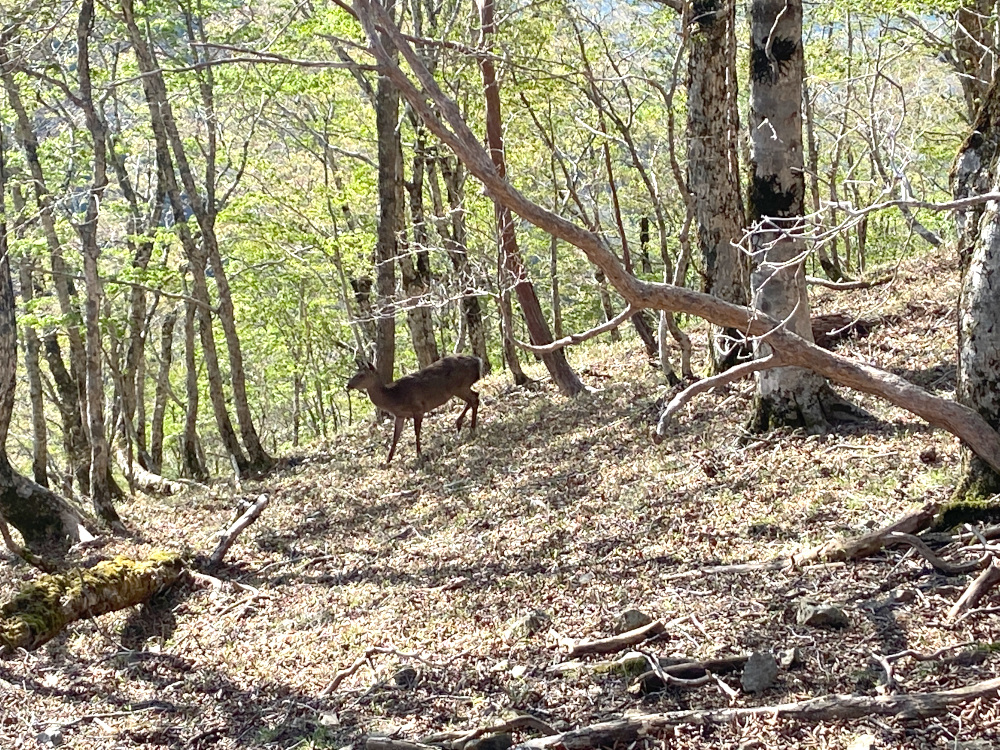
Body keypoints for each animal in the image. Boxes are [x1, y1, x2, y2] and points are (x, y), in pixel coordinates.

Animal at [346, 356, 482, 468]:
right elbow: (395, 437)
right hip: (460, 388)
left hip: (460, 386)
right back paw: (462, 425)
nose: (347, 385)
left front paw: (419, 454)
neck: (394, 398)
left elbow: (416, 432)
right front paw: (387, 460)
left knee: (474, 399)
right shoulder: (400, 416)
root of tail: (478, 361)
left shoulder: (418, 409)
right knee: (475, 396)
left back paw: (470, 428)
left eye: (361, 375)